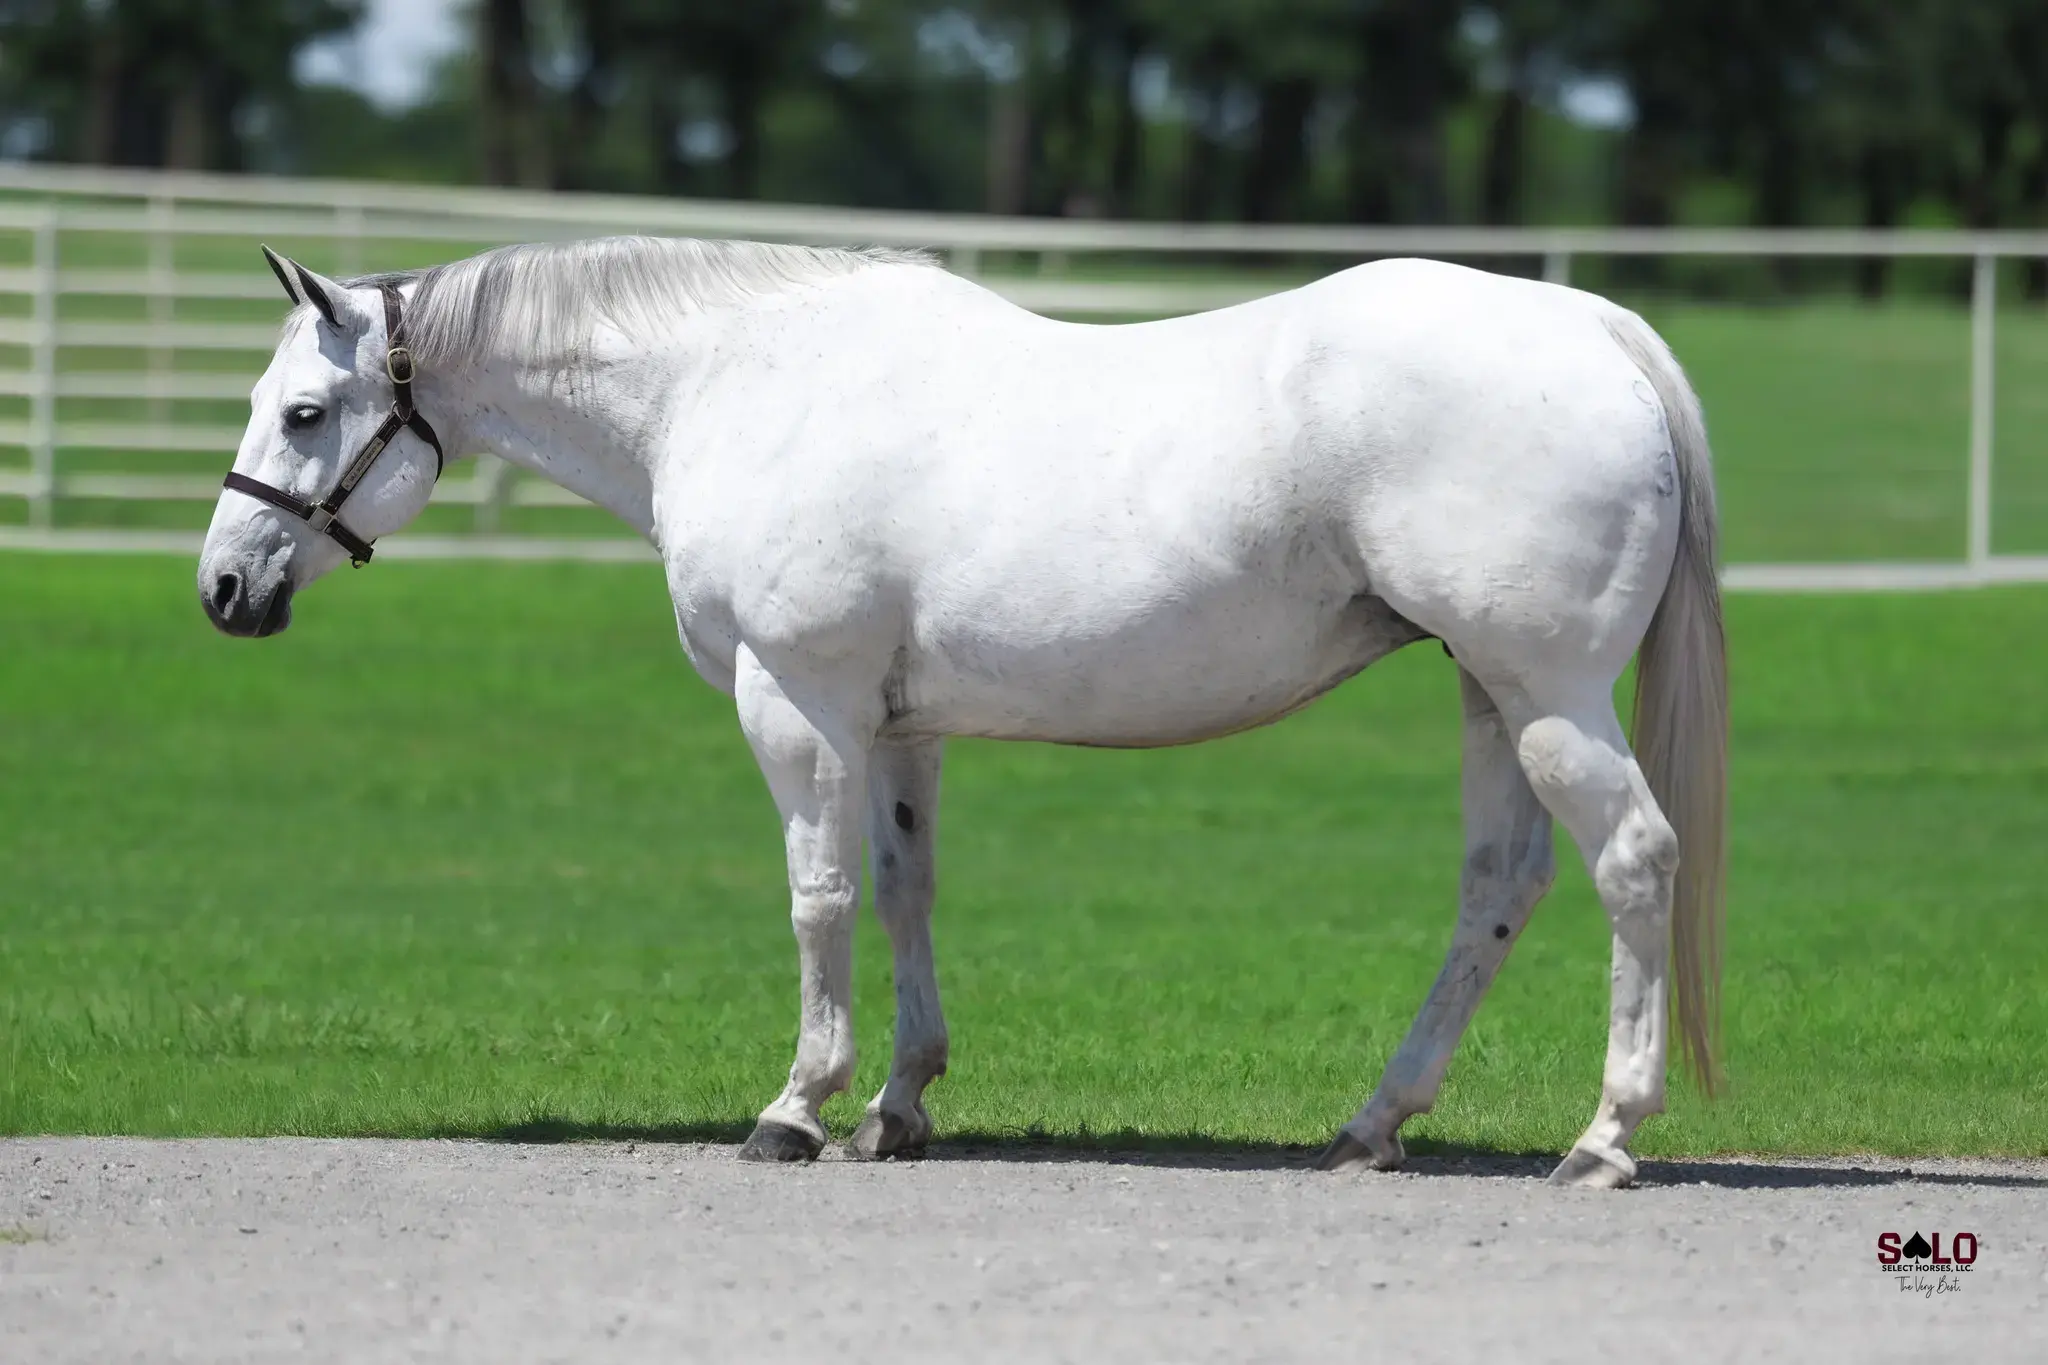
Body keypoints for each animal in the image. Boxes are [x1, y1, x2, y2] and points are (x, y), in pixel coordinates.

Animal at [199, 236, 1726, 1188]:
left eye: (304, 412)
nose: (223, 588)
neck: (732, 382)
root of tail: (1595, 327)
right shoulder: (896, 727)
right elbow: (902, 888)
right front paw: (899, 1106)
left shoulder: (796, 699)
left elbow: (818, 897)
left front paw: (795, 1107)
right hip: (1489, 689)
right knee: (1500, 887)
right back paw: (1373, 1123)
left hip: (1547, 691)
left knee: (1633, 862)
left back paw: (1603, 1137)